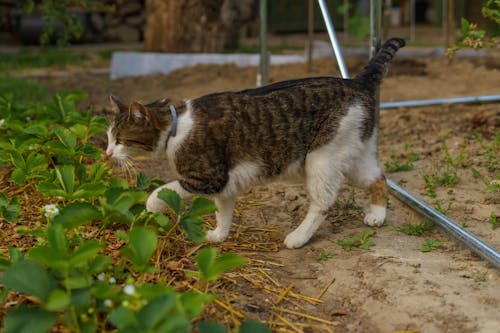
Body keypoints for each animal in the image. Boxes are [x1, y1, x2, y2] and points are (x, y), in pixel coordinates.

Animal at [106, 37, 406, 248]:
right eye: (108, 138)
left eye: (119, 139)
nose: (107, 153)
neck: (176, 128)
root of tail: (357, 82)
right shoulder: (225, 184)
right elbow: (223, 212)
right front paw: (219, 236)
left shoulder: (208, 177)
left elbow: (164, 191)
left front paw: (152, 206)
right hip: (354, 155)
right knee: (379, 179)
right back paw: (377, 215)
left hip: (322, 159)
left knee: (324, 202)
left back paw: (298, 237)